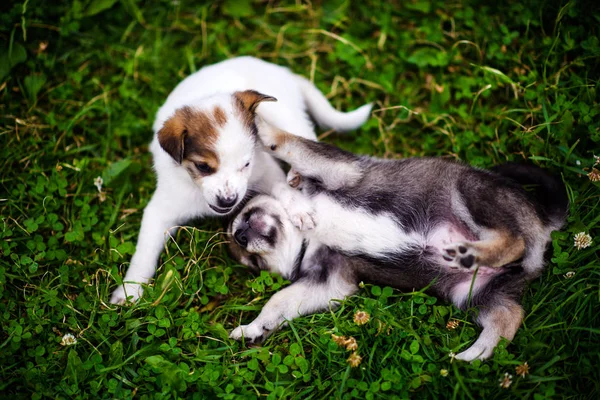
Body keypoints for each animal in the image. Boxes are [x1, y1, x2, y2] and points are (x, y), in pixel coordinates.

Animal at [109, 56, 370, 304]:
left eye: (246, 164)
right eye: (203, 167)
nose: (228, 201)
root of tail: (279, 70)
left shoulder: (264, 169)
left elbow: (281, 187)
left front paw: (298, 208)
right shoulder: (160, 210)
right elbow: (144, 252)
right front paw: (130, 290)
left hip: (284, 115)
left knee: (305, 140)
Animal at [227, 120, 564, 360]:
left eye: (246, 214)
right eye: (253, 262)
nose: (241, 235)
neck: (308, 236)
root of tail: (545, 222)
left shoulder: (339, 170)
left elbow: (289, 144)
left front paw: (260, 124)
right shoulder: (328, 282)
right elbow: (278, 302)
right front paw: (253, 328)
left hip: (469, 194)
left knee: (513, 240)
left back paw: (471, 252)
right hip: (472, 292)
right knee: (509, 316)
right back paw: (477, 353)